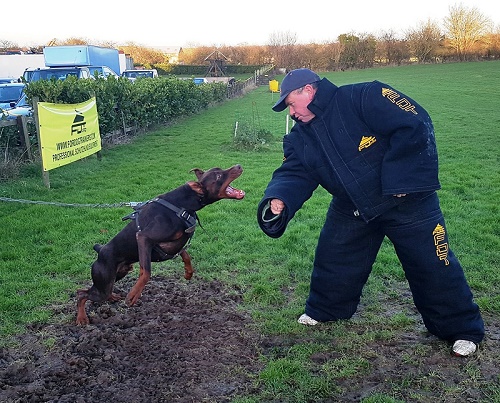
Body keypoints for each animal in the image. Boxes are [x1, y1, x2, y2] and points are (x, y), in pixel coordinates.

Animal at [75, 166, 244, 326]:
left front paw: (188, 272)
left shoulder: (175, 244)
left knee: (92, 291)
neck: (183, 204)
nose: (239, 166)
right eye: (218, 176)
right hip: (104, 281)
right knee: (81, 294)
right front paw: (133, 295)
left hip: (117, 275)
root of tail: (100, 250)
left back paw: (112, 297)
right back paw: (82, 318)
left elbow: (185, 254)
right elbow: (146, 271)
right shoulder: (143, 238)